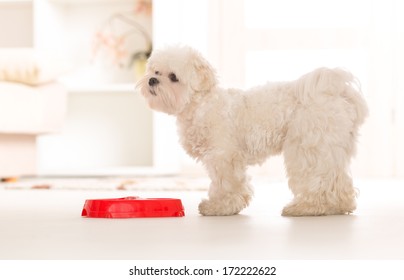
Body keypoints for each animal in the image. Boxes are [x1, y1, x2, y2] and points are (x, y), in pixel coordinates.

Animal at [137, 45, 368, 217]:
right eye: (155, 71)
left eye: (173, 77)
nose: (152, 80)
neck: (201, 103)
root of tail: (336, 92)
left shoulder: (223, 155)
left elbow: (226, 183)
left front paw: (220, 206)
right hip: (330, 147)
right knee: (338, 179)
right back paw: (339, 206)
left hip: (308, 147)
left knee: (318, 178)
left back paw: (307, 208)